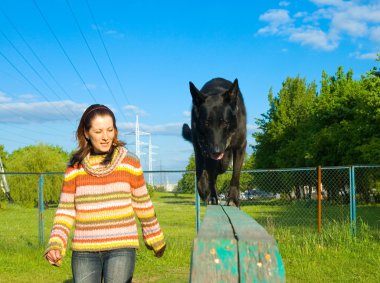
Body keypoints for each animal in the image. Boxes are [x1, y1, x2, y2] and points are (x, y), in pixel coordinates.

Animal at [183, 77, 248, 206]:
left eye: (225, 123)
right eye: (206, 123)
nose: (216, 151)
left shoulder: (240, 146)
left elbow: (236, 174)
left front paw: (233, 198)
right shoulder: (202, 147)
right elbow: (203, 171)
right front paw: (205, 189)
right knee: (211, 173)